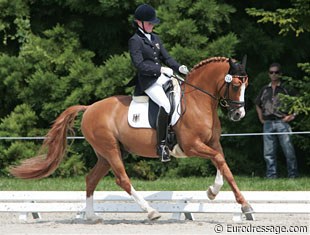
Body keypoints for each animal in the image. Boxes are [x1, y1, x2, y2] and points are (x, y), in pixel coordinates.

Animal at [10, 56, 253, 220]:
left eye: (246, 85)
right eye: (235, 85)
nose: (238, 114)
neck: (198, 102)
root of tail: (89, 108)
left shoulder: (213, 143)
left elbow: (223, 165)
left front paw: (220, 194)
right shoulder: (192, 146)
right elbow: (219, 161)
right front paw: (240, 203)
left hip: (106, 154)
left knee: (91, 179)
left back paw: (92, 217)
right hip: (110, 150)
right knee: (122, 180)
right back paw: (151, 211)